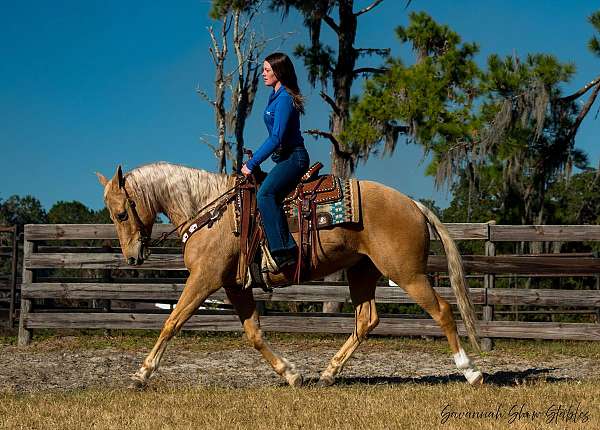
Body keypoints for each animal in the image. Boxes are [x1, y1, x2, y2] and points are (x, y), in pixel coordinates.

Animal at [97, 162, 482, 390]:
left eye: (120, 213)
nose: (132, 256)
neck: (210, 212)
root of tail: (412, 204)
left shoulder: (204, 279)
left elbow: (172, 322)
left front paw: (141, 374)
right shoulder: (235, 286)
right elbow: (253, 334)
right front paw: (292, 374)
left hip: (407, 273)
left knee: (442, 311)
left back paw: (471, 371)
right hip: (362, 271)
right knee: (366, 319)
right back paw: (328, 374)